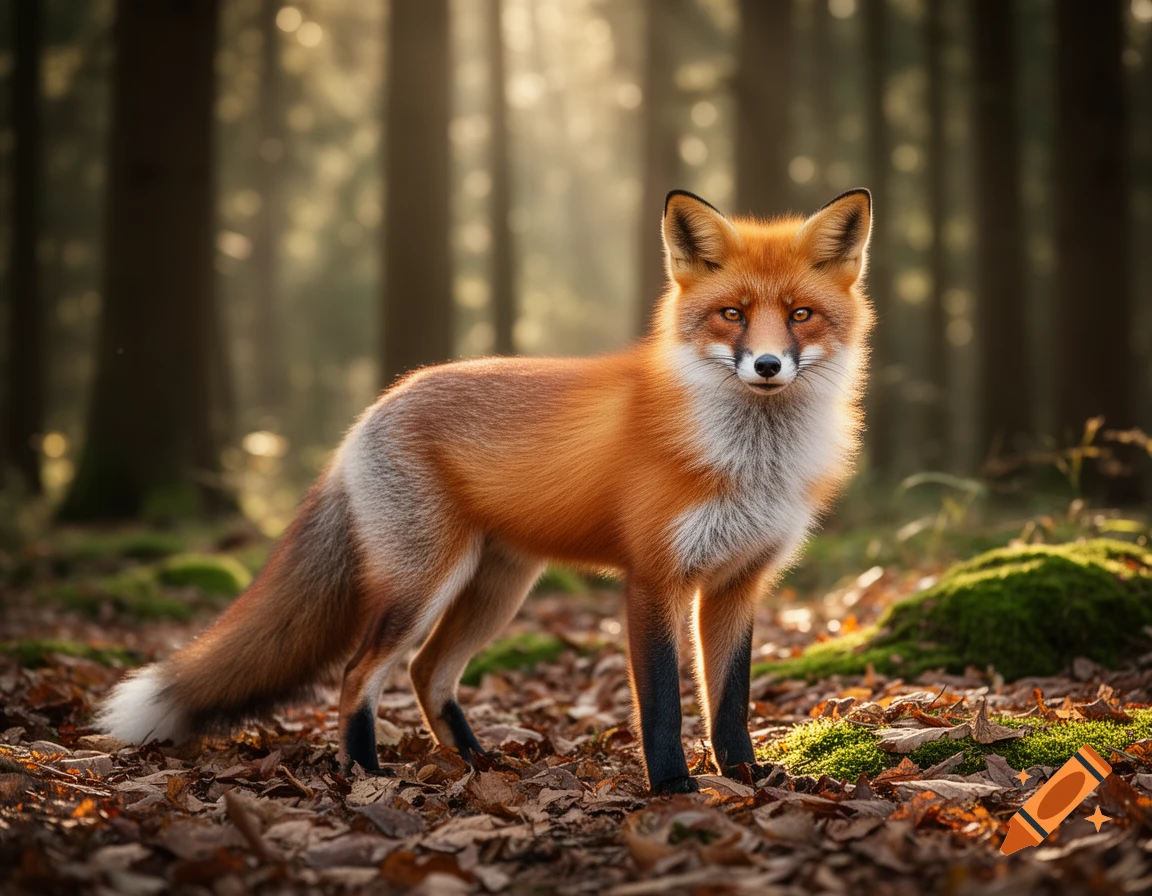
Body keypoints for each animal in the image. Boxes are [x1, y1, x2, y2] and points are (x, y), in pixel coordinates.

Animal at [97, 188, 873, 794]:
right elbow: (661, 701)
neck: (751, 460)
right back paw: (368, 773)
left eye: (800, 315)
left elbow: (730, 701)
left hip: (496, 590)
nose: (767, 365)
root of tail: (377, 406)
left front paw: (744, 776)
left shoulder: (739, 582)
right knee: (358, 673)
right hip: (423, 584)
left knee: (426, 673)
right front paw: (673, 787)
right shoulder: (655, 578)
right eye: (732, 315)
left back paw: (476, 763)